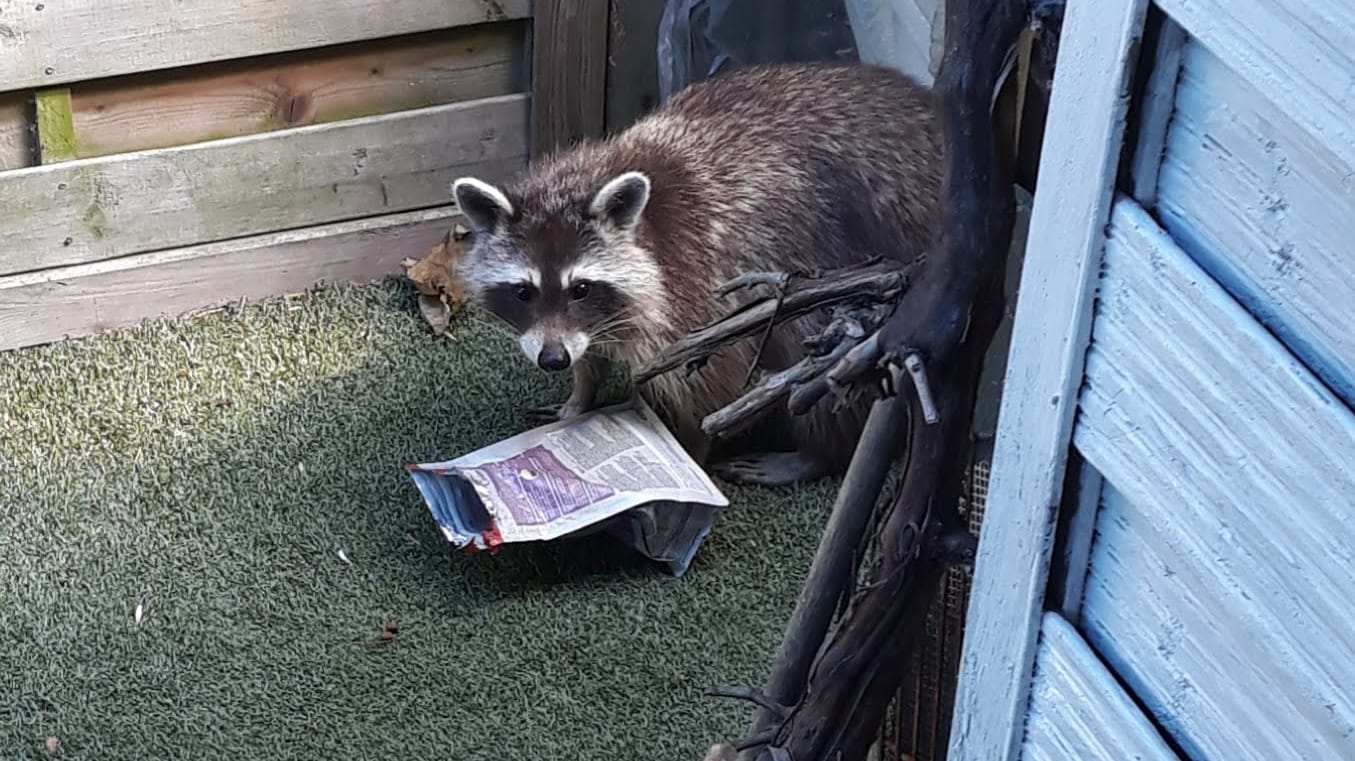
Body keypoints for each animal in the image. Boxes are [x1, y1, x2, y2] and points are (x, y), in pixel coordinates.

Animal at [449, 62, 937, 482]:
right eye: (523, 292)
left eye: (581, 288)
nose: (553, 360)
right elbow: (589, 352)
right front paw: (580, 393)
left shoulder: (695, 284)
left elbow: (712, 383)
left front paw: (690, 457)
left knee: (812, 347)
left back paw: (819, 454)